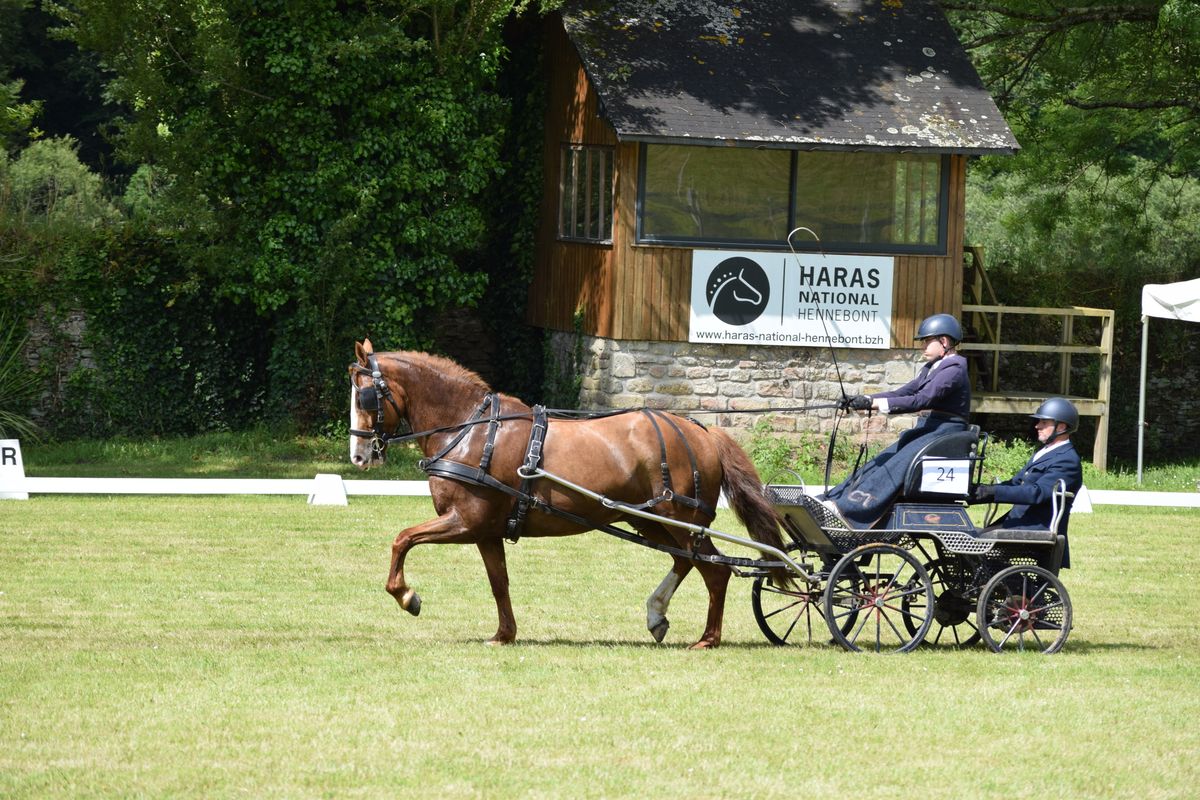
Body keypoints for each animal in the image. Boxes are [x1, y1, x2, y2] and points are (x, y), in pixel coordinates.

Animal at [350, 340, 787, 647]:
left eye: (365, 395)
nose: (358, 455)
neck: (469, 429)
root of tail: (702, 432)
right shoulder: (486, 531)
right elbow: (499, 582)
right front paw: (504, 634)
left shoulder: (465, 521)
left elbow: (402, 538)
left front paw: (407, 596)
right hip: (647, 519)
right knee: (687, 562)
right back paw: (656, 615)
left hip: (680, 519)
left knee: (715, 570)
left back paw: (707, 639)